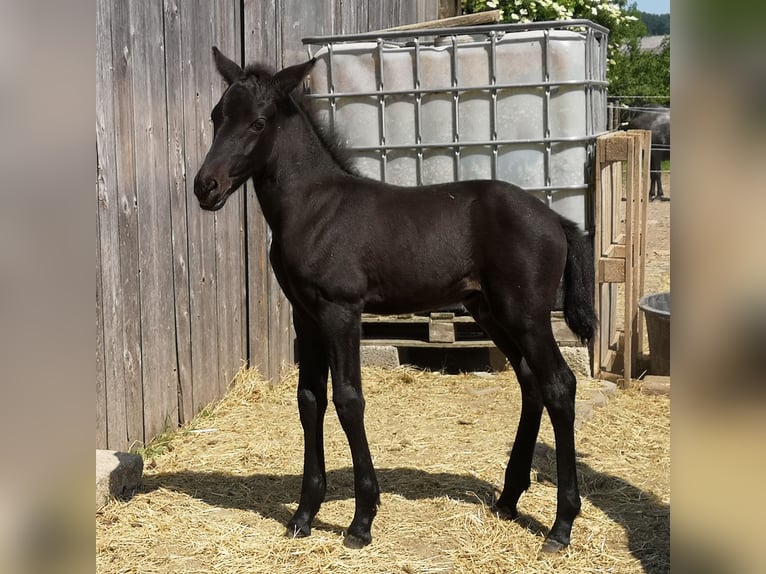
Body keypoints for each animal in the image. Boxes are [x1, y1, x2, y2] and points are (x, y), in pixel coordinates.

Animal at [192, 48, 600, 552]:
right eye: (217, 116)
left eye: (259, 122)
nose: (205, 186)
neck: (313, 207)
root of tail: (556, 219)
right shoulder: (305, 316)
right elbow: (310, 400)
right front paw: (304, 515)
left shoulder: (340, 311)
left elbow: (349, 400)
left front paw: (361, 520)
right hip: (490, 311)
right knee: (531, 381)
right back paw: (508, 499)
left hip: (527, 314)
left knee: (559, 385)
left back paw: (562, 524)